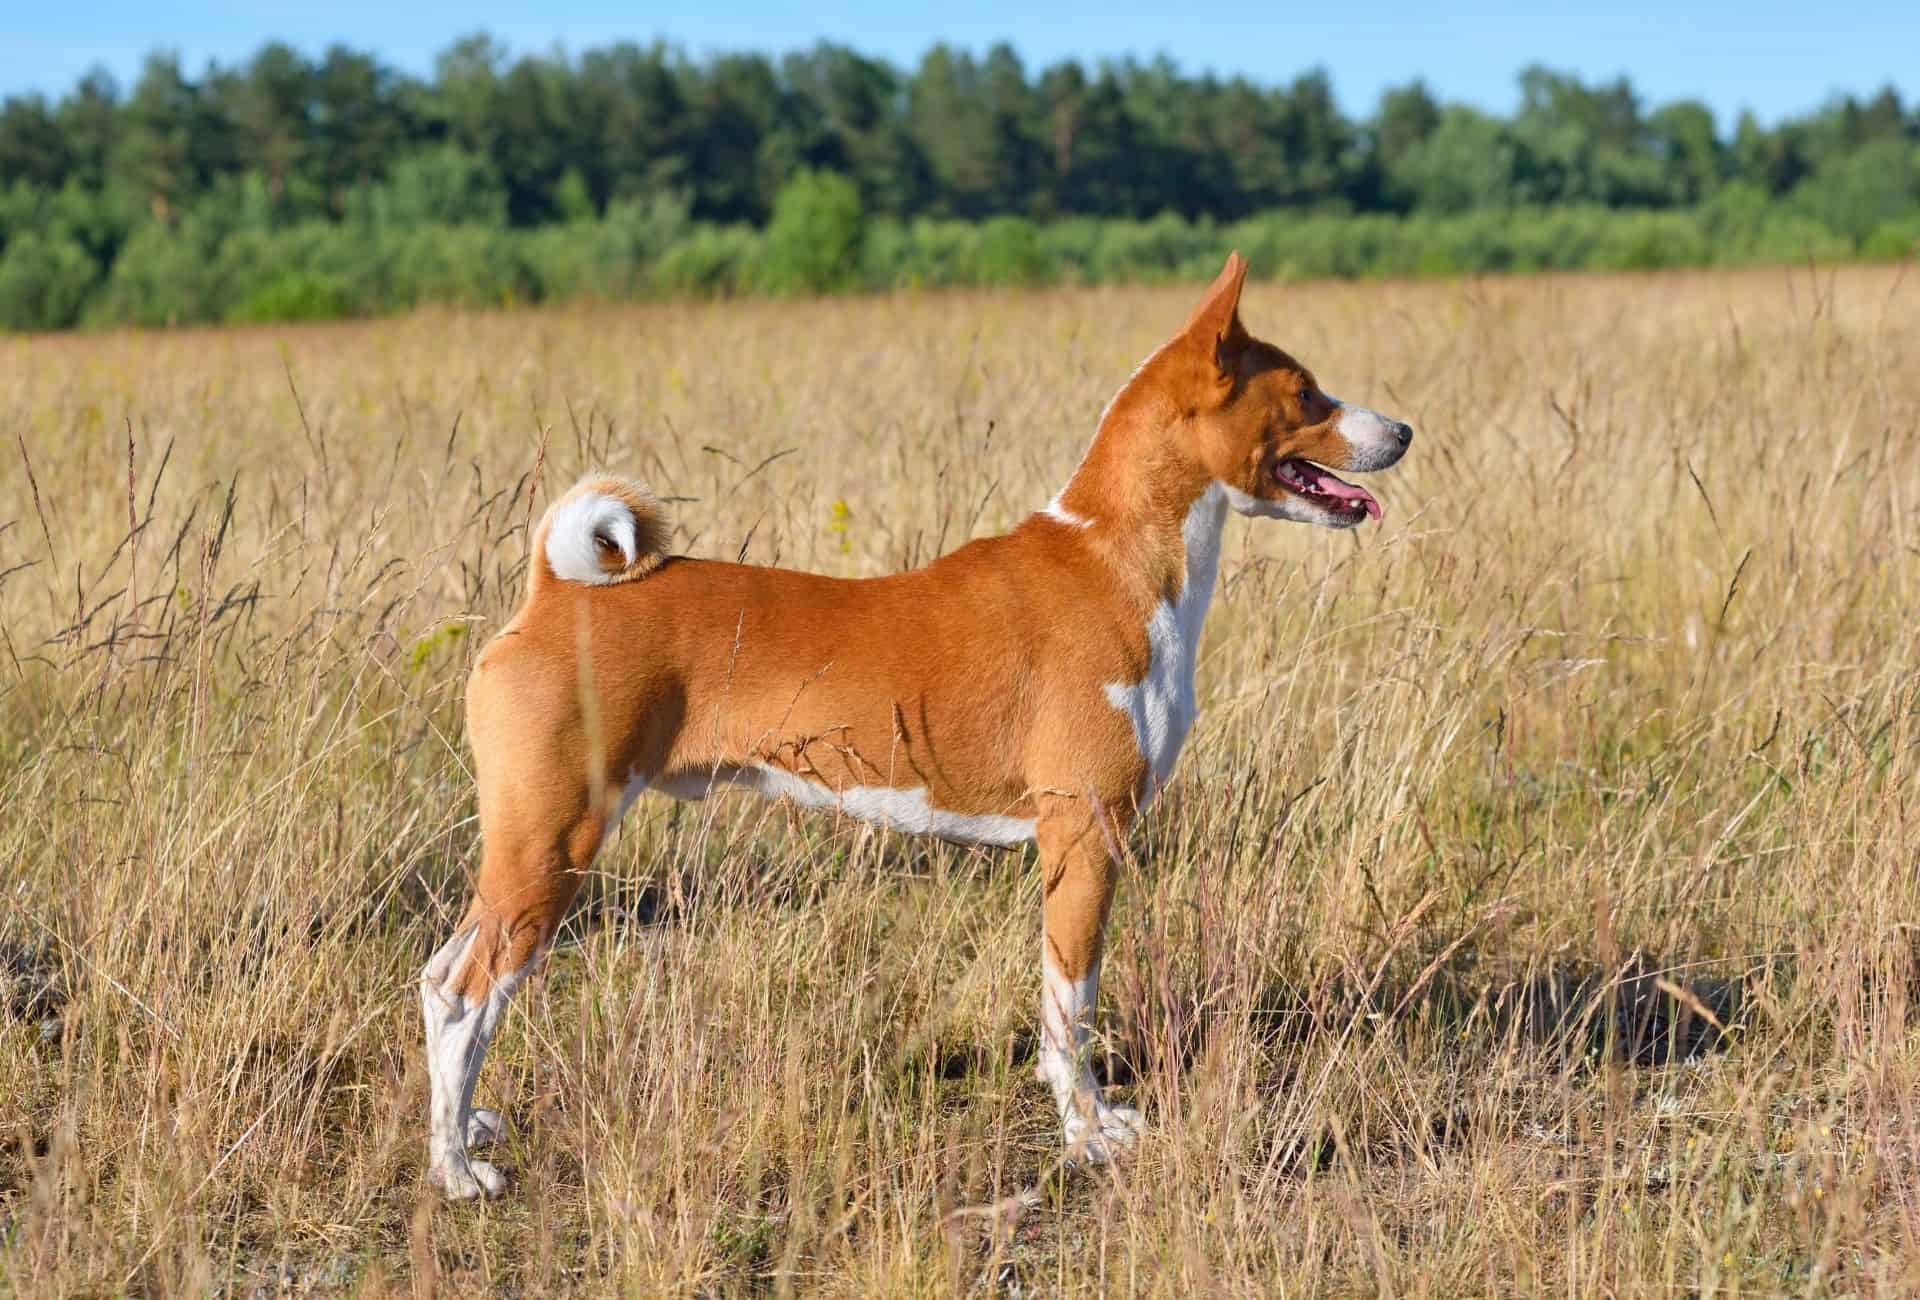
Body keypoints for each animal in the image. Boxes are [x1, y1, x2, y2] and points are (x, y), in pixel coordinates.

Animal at [420, 251, 1413, 1198]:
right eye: (1308, 394)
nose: (1402, 431)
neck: (1116, 558)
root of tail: (553, 593)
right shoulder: (1083, 834)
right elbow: (1072, 1009)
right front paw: (1087, 1137)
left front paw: (1096, 1122)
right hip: (555, 842)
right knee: (470, 998)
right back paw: (457, 1174)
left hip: (524, 850)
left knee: (439, 981)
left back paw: (467, 1132)